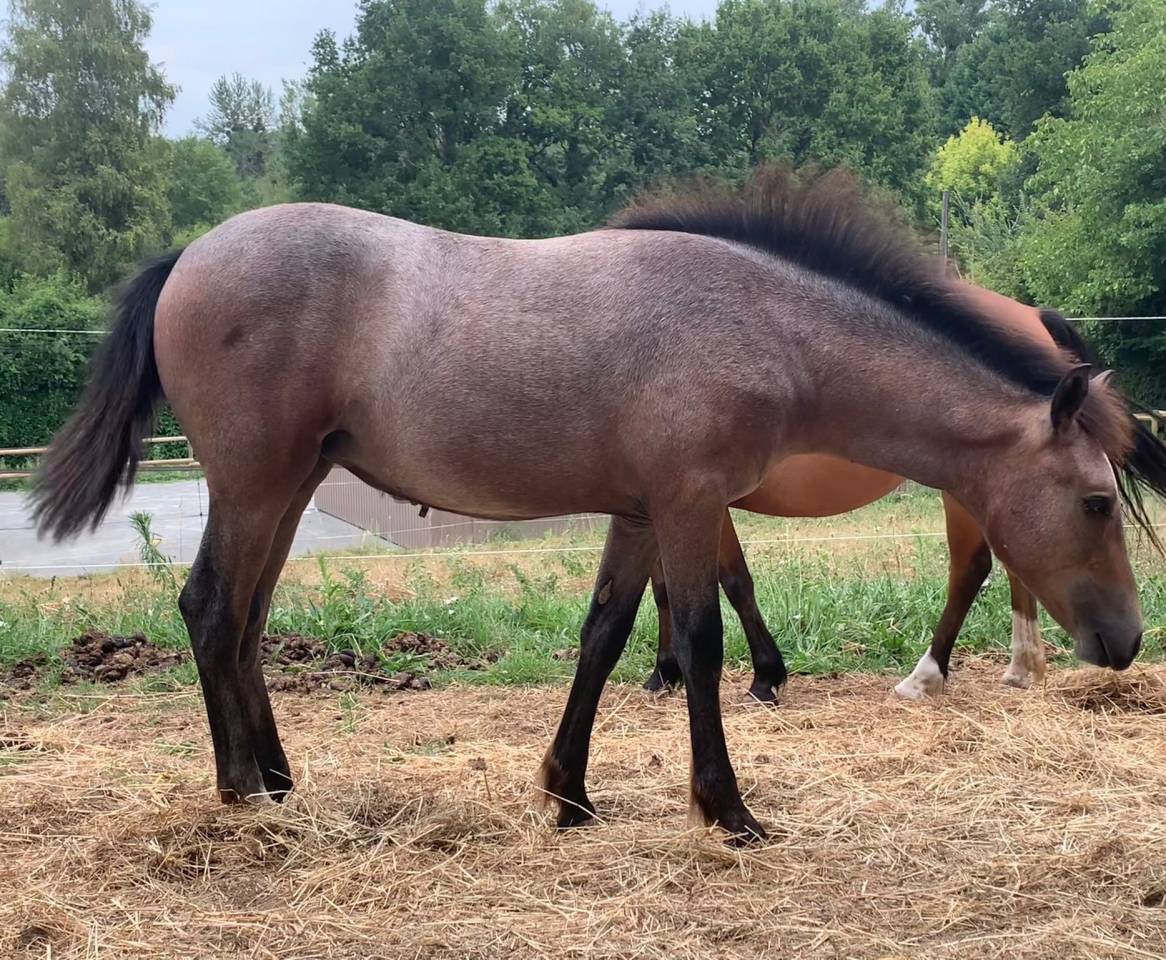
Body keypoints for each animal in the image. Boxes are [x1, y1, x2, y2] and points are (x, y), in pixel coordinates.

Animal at [645, 292, 1166, 704]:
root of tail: (1030, 313)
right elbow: (663, 586)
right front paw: (664, 672)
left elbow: (732, 582)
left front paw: (765, 677)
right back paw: (1022, 668)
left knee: (971, 568)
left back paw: (925, 676)